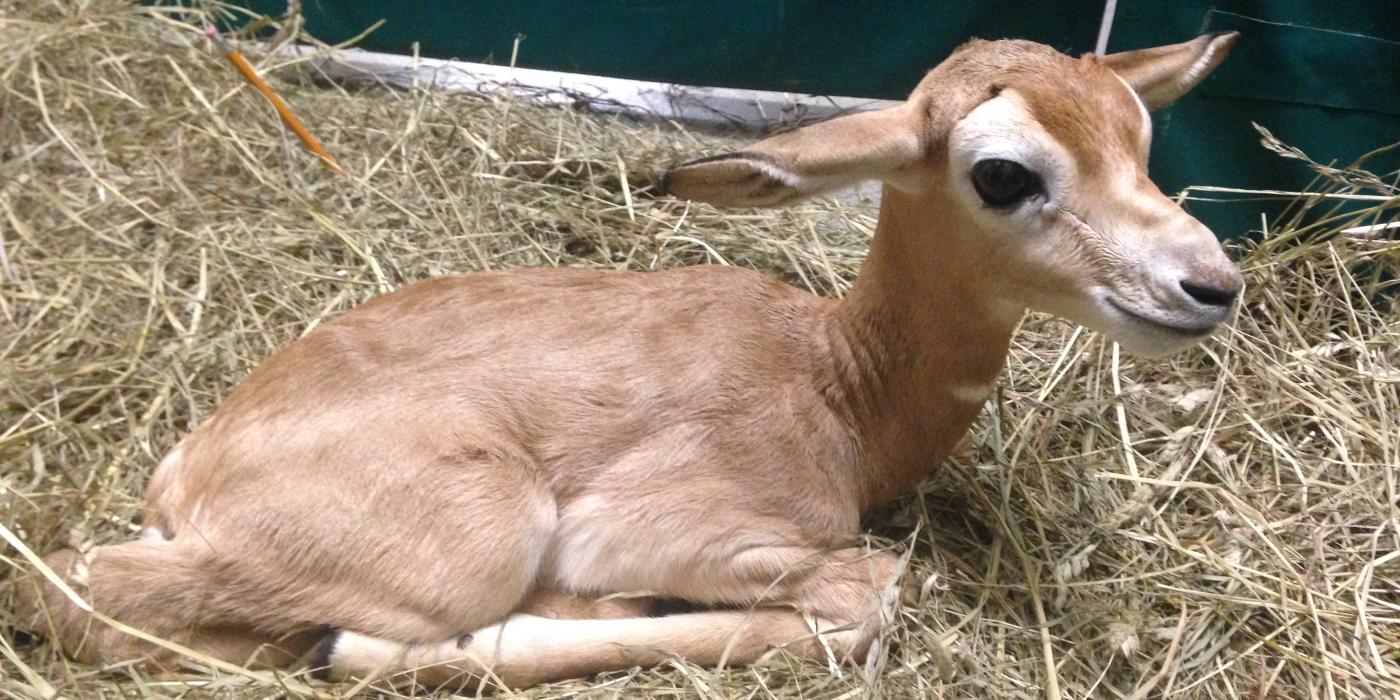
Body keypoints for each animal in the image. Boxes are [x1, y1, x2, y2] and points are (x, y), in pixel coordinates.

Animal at [21, 34, 1243, 688]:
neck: (840, 390)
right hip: (480, 534)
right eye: (1001, 172)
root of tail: (189, 467)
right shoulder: (676, 529)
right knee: (80, 589)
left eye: (1138, 136)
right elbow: (867, 594)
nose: (1209, 283)